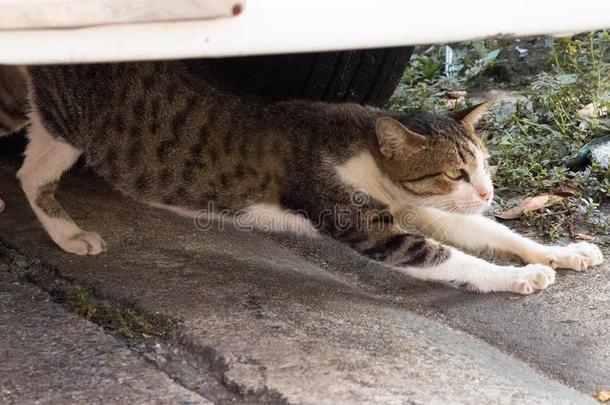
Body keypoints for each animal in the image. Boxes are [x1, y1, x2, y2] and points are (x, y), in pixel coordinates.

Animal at [0, 60, 600, 294]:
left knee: (29, 170)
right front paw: (521, 279)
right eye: (455, 171)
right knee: (33, 173)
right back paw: (66, 230)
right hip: (67, 121)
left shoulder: (419, 209)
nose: (488, 190)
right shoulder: (372, 227)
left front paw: (564, 253)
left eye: (484, 163)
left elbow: (492, 233)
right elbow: (449, 256)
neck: (368, 155)